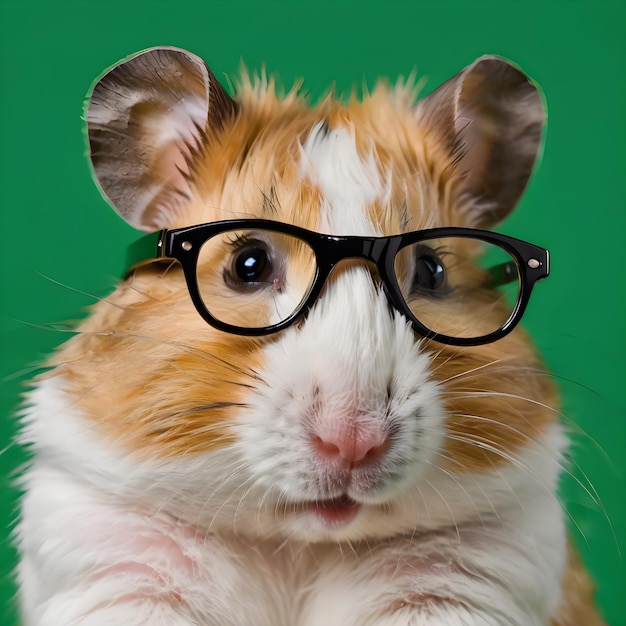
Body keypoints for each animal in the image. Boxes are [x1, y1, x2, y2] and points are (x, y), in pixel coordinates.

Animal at [14, 47, 604, 624]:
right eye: (247, 265)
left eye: (433, 271)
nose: (354, 442)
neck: (300, 544)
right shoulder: (118, 562)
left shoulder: (464, 582)